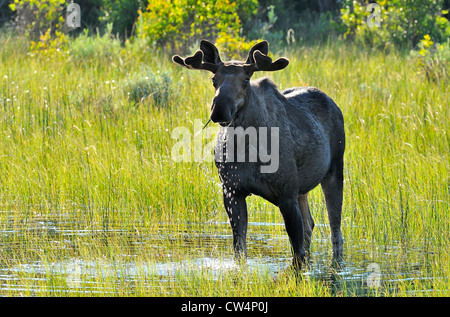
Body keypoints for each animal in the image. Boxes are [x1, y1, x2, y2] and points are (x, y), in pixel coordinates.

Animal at [172, 39, 344, 266]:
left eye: (246, 80)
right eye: (214, 79)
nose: (219, 109)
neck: (246, 151)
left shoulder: (287, 193)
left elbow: (297, 255)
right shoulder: (232, 191)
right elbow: (239, 251)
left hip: (335, 169)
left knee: (335, 231)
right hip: (303, 190)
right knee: (310, 225)